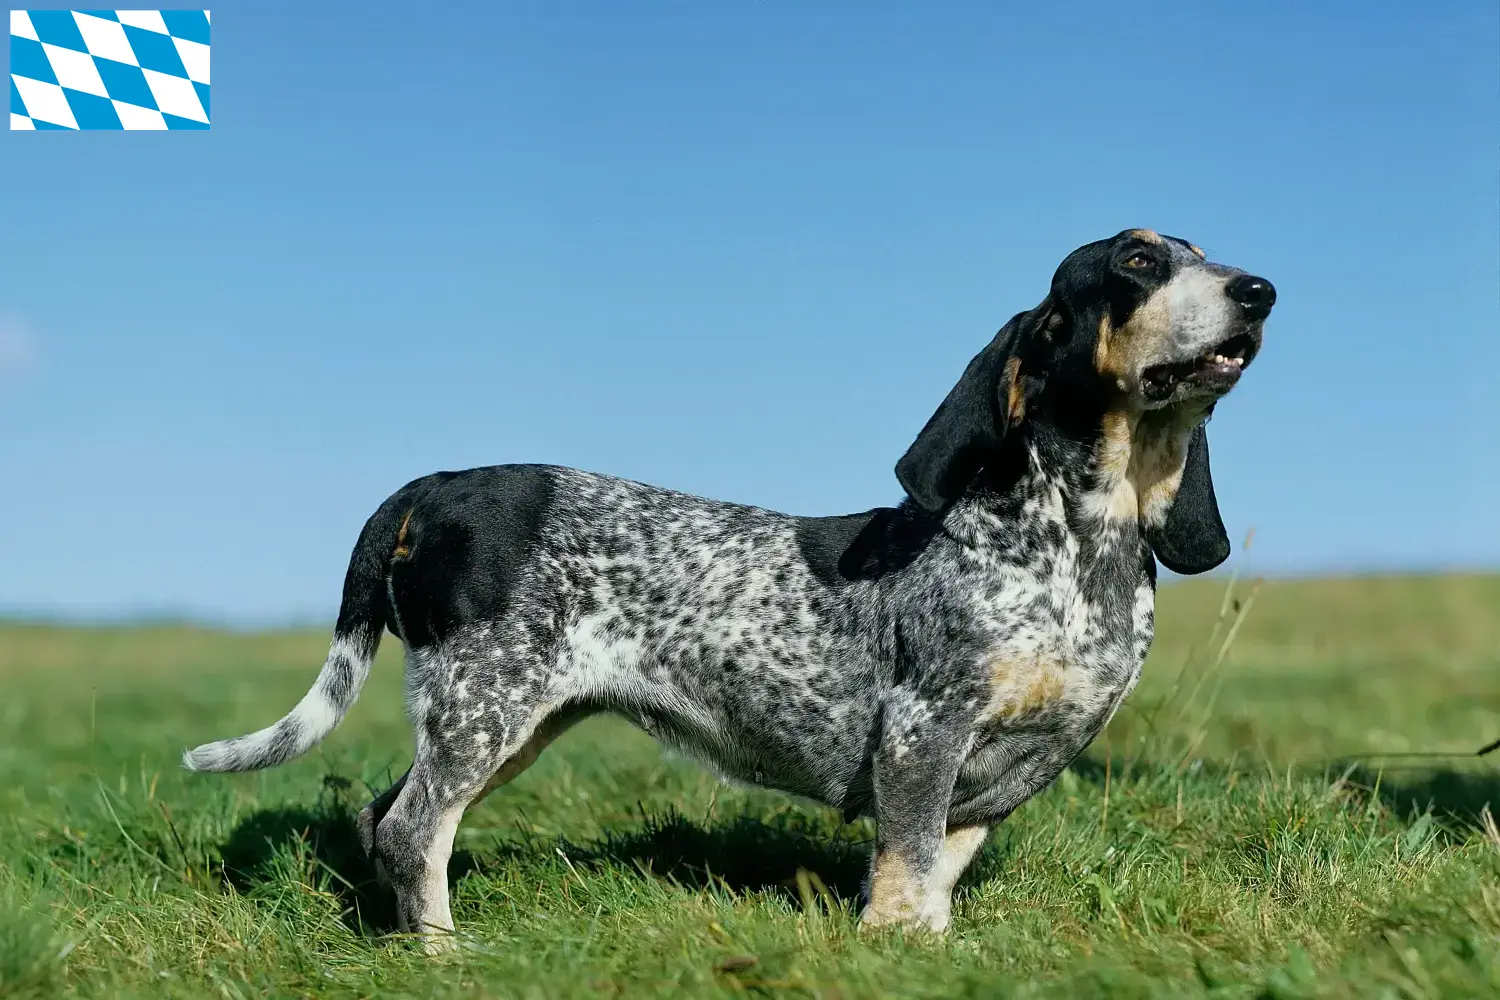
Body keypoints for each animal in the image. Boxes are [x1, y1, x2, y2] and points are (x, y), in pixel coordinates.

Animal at [181, 230, 1272, 953]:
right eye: (1137, 263)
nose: (1260, 290)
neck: (1081, 542)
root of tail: (432, 486)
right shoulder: (923, 735)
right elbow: (905, 871)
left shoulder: (1008, 772)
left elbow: (934, 878)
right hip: (485, 708)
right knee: (415, 830)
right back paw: (447, 958)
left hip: (505, 722)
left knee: (388, 821)